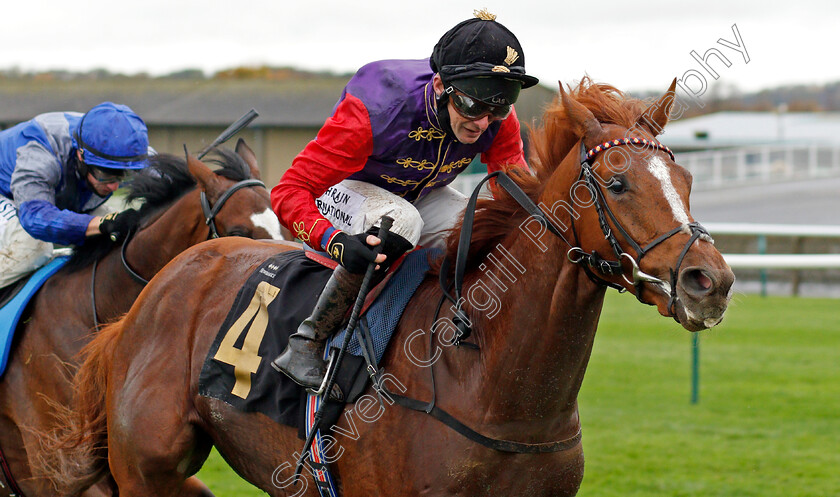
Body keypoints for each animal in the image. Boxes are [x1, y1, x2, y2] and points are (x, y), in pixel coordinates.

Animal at [41, 79, 736, 494]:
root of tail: (157, 288)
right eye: (617, 184)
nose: (711, 280)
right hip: (147, 463)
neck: (487, 376)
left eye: (687, 180)